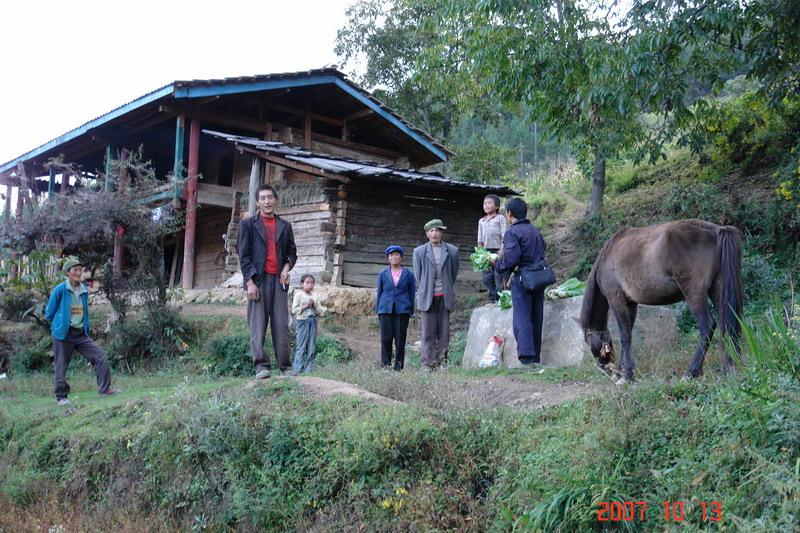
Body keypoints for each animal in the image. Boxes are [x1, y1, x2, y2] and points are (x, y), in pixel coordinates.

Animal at [580, 218, 744, 380]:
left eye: (587, 340)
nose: (603, 367)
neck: (608, 257)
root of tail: (717, 230)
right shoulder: (631, 304)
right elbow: (629, 333)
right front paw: (623, 368)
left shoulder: (616, 300)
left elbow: (624, 335)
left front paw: (627, 374)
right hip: (718, 290)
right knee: (726, 324)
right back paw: (729, 366)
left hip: (694, 293)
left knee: (707, 326)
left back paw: (691, 372)